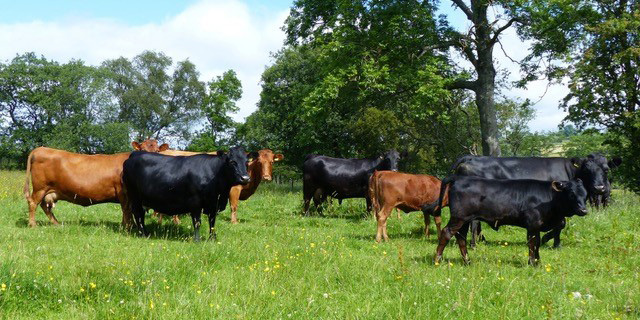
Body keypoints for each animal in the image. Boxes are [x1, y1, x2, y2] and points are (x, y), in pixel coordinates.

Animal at [24, 140, 169, 228]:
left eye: (158, 151)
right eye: (142, 149)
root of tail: (40, 149)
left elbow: (126, 211)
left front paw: (125, 226)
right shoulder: (123, 193)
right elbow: (127, 210)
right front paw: (128, 227)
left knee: (45, 206)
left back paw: (57, 224)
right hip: (40, 188)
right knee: (33, 203)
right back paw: (33, 225)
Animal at [121, 146, 251, 241]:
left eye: (246, 162)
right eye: (232, 162)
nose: (245, 178)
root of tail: (134, 155)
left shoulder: (214, 204)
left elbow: (212, 221)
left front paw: (212, 238)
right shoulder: (195, 202)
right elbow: (197, 222)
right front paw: (197, 240)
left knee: (141, 215)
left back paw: (146, 233)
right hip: (134, 196)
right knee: (138, 214)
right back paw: (142, 234)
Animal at [432, 176, 588, 266]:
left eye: (585, 194)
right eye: (571, 194)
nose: (584, 210)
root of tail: (458, 179)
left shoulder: (537, 227)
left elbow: (537, 244)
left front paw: (537, 262)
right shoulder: (533, 225)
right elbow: (533, 244)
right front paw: (533, 263)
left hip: (465, 220)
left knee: (461, 238)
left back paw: (467, 262)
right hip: (459, 217)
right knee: (446, 233)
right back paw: (437, 260)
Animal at [450, 155, 604, 248]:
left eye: (605, 169)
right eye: (587, 169)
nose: (600, 187)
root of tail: (471, 157)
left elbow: (560, 224)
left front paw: (554, 242)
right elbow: (561, 224)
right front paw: (550, 241)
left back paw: (482, 240)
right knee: (474, 223)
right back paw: (474, 244)